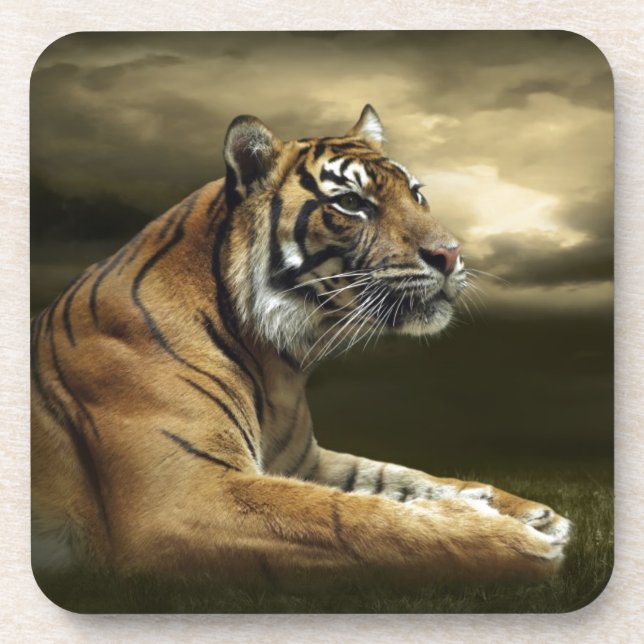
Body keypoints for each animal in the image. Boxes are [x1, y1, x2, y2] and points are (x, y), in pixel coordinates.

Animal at [31, 105, 571, 589]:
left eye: (417, 194)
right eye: (351, 203)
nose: (451, 255)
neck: (275, 361)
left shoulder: (303, 462)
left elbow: (396, 476)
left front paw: (527, 511)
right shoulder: (184, 496)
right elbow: (352, 520)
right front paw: (516, 541)